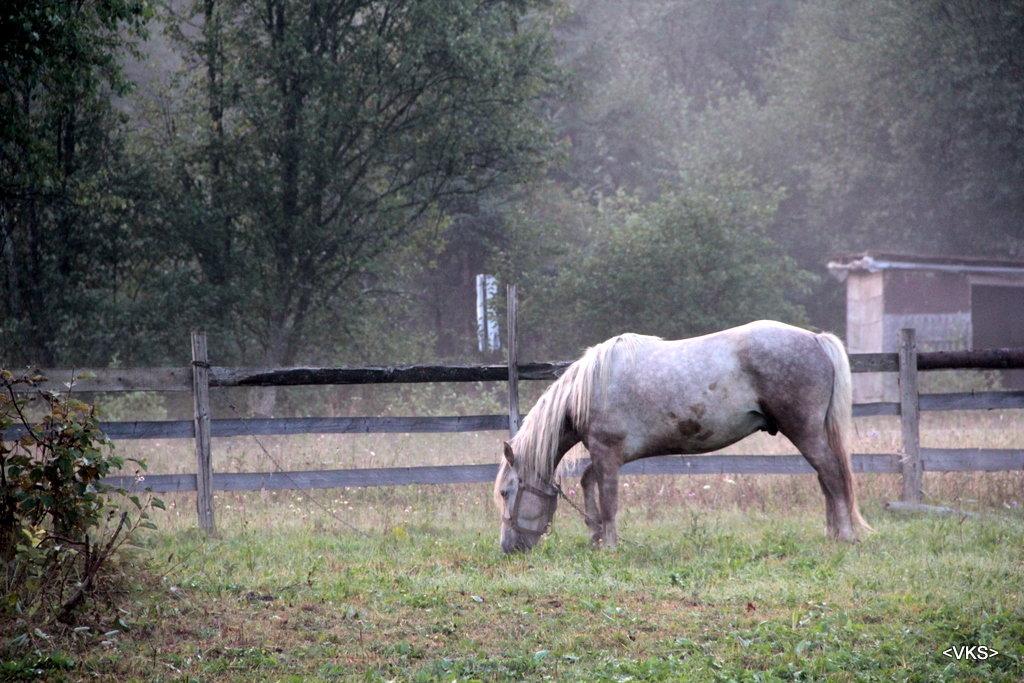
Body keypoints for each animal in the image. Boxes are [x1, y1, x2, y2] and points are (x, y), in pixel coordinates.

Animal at [495, 321, 872, 557]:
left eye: (505, 492)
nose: (508, 548)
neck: (587, 390)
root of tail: (815, 339)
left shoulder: (607, 453)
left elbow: (608, 500)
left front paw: (609, 545)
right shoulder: (604, 456)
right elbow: (589, 484)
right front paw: (595, 536)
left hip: (805, 431)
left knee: (832, 474)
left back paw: (845, 536)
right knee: (825, 478)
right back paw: (832, 534)